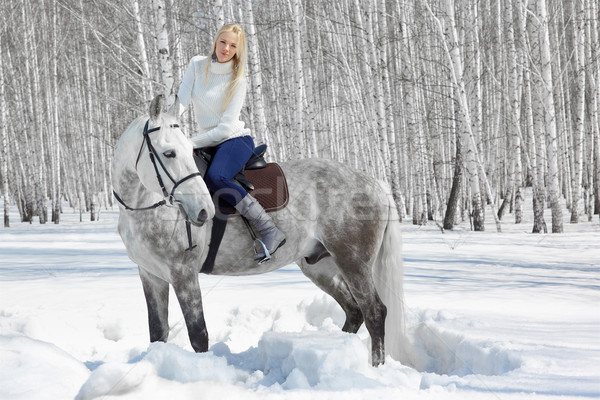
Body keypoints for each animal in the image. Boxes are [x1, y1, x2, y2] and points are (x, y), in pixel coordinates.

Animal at [112, 96, 404, 366]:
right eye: (169, 153)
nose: (204, 211)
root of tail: (375, 183)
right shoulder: (151, 275)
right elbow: (158, 332)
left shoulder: (183, 274)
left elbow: (198, 336)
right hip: (321, 267)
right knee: (354, 312)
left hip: (353, 262)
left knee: (374, 312)